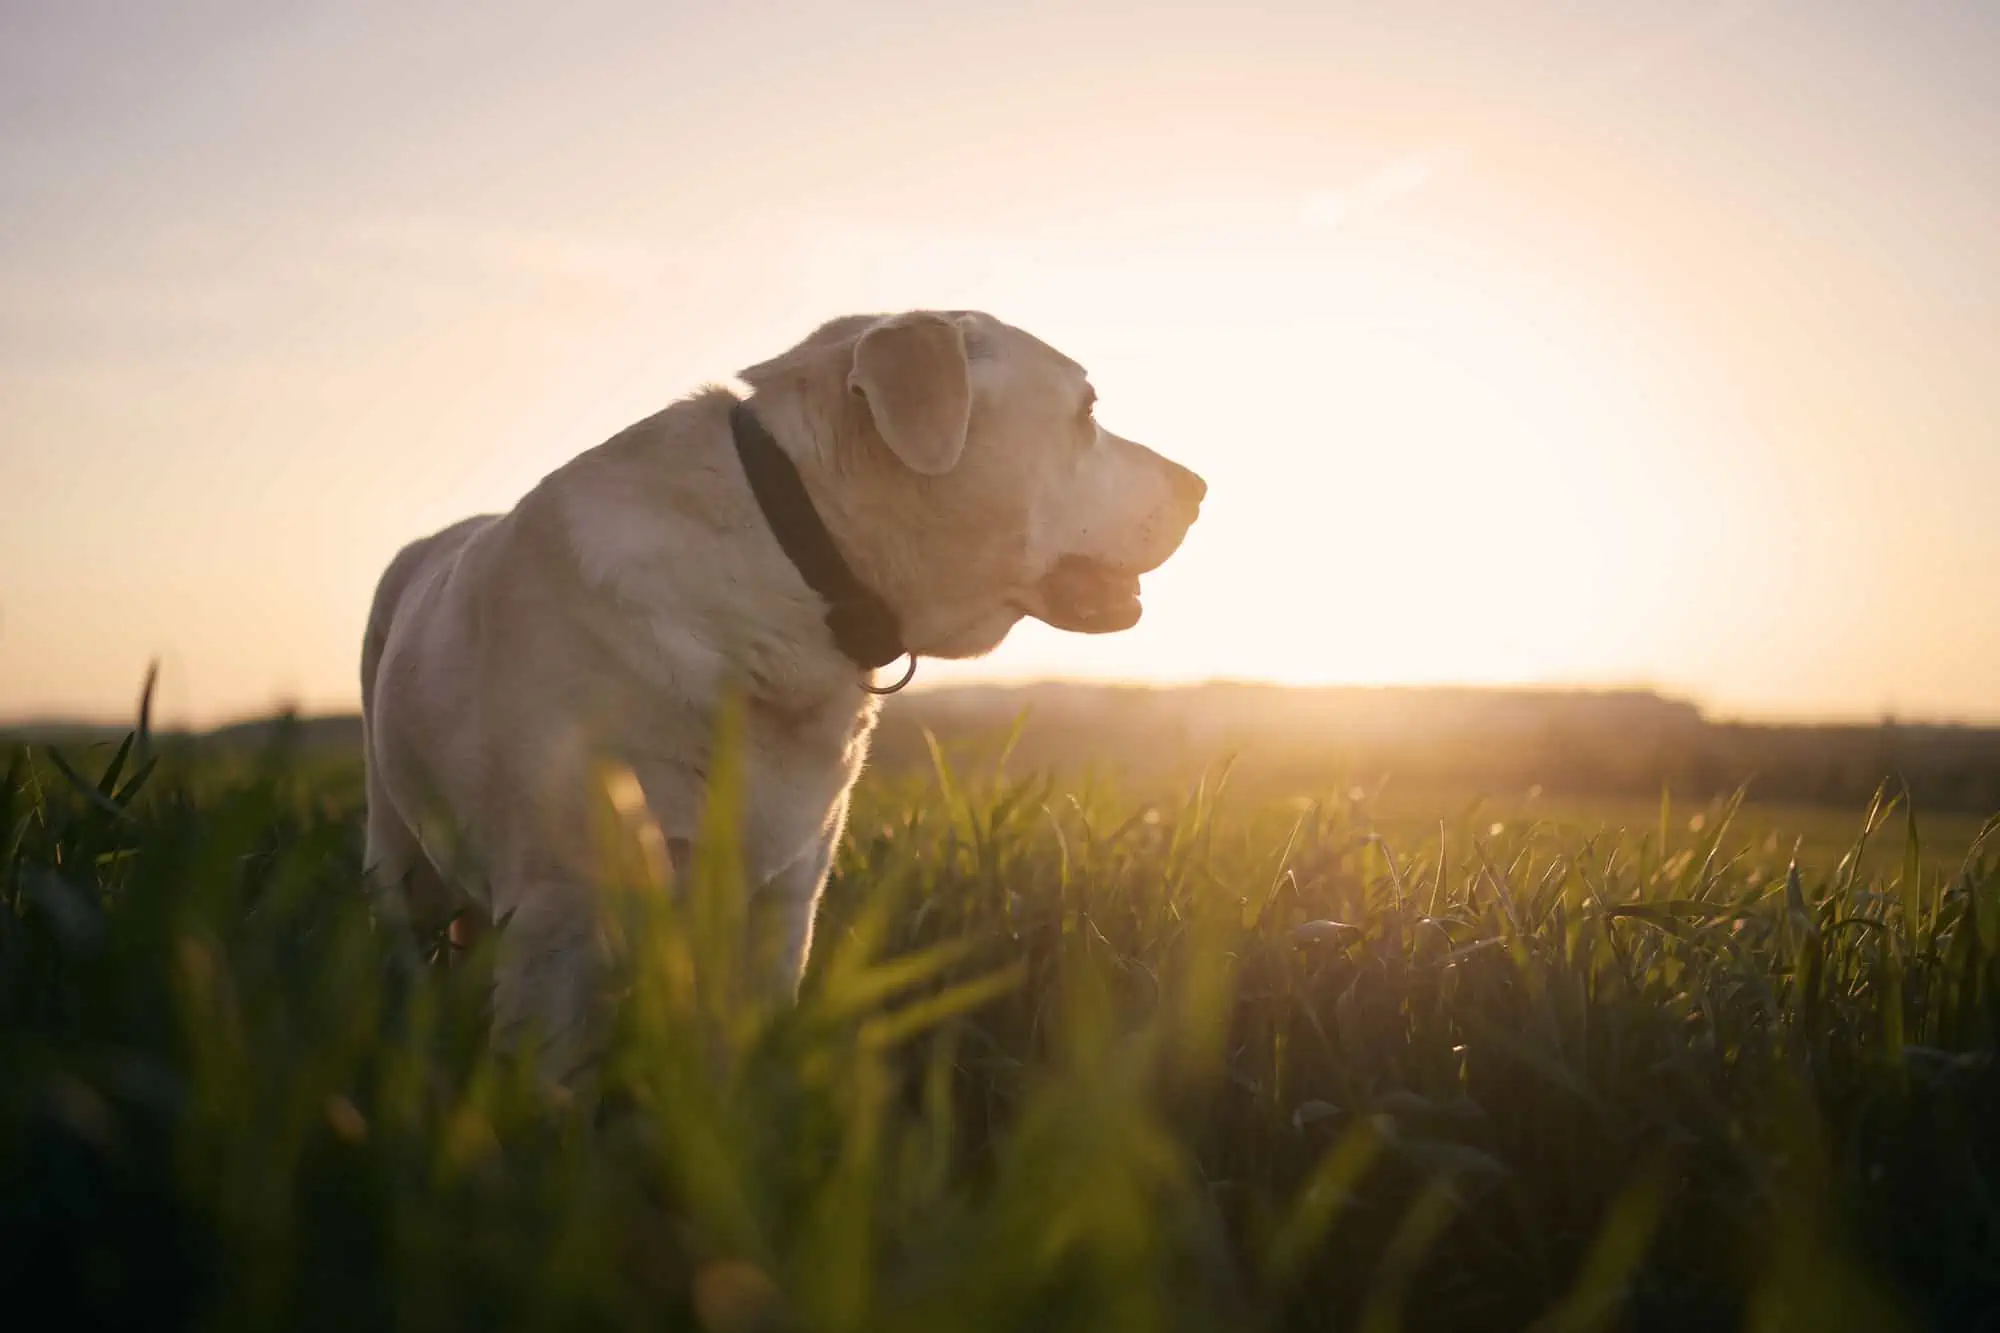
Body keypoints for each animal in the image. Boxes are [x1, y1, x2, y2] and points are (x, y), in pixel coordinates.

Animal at [358, 306, 1200, 1072]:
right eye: (1087, 412)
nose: (1201, 485)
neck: (793, 559)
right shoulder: (561, 914)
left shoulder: (783, 908)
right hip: (397, 856)